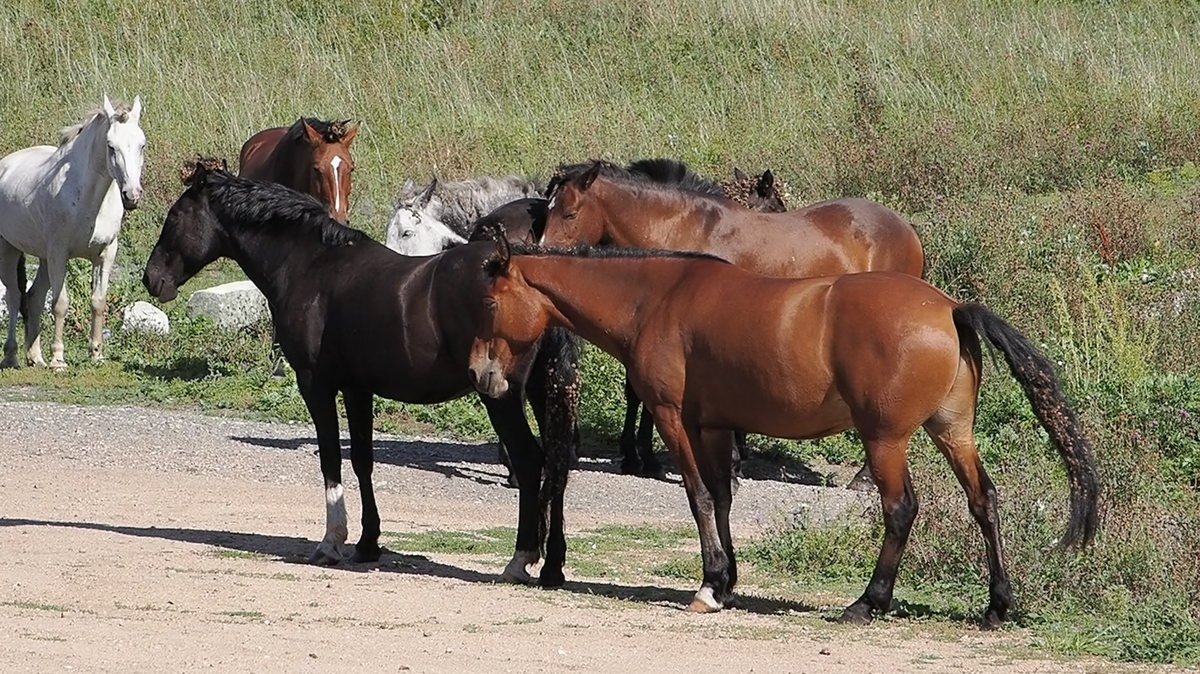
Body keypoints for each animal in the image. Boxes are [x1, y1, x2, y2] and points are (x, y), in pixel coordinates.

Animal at [0, 95, 146, 366]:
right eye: (111, 146)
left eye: (142, 145)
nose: (132, 196)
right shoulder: (60, 254)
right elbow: (60, 304)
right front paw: (58, 360)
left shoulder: (105, 254)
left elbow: (98, 302)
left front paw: (96, 354)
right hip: (10, 250)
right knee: (14, 297)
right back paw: (12, 356)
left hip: (44, 258)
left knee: (33, 298)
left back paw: (36, 358)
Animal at [465, 239, 1099, 623]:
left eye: (489, 303)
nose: (480, 374)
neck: (657, 299)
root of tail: (949, 308)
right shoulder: (714, 426)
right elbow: (721, 498)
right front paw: (725, 580)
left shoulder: (674, 419)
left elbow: (698, 497)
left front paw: (708, 587)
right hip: (952, 431)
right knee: (983, 501)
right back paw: (997, 605)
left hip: (885, 440)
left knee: (900, 509)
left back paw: (868, 601)